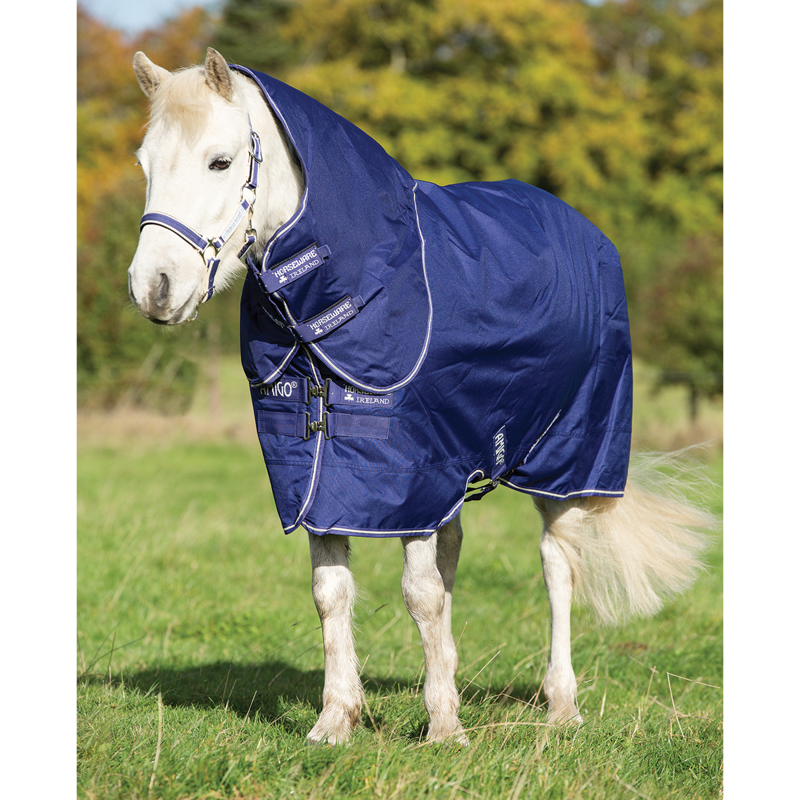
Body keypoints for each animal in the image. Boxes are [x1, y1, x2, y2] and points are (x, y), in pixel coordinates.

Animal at [128, 48, 712, 745]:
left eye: (220, 161)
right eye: (144, 163)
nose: (154, 289)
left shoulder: (409, 478)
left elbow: (419, 593)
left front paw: (444, 730)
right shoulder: (325, 479)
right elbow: (334, 592)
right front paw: (336, 720)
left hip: (566, 460)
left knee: (557, 565)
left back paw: (561, 705)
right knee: (456, 556)